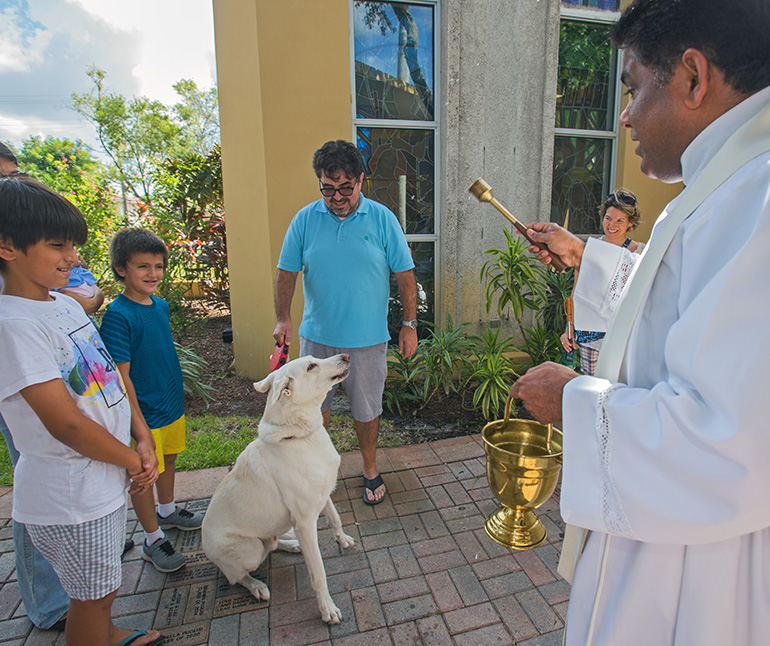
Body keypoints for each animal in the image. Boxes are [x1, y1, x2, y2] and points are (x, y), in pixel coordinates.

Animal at [198, 356, 354, 624]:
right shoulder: (305, 521)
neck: (300, 436)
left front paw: (342, 539)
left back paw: (290, 544)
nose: (345, 356)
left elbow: (336, 518)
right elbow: (319, 573)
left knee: (270, 546)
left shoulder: (323, 495)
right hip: (248, 550)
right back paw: (257, 586)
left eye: (314, 359)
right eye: (311, 366)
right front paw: (327, 609)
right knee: (237, 575)